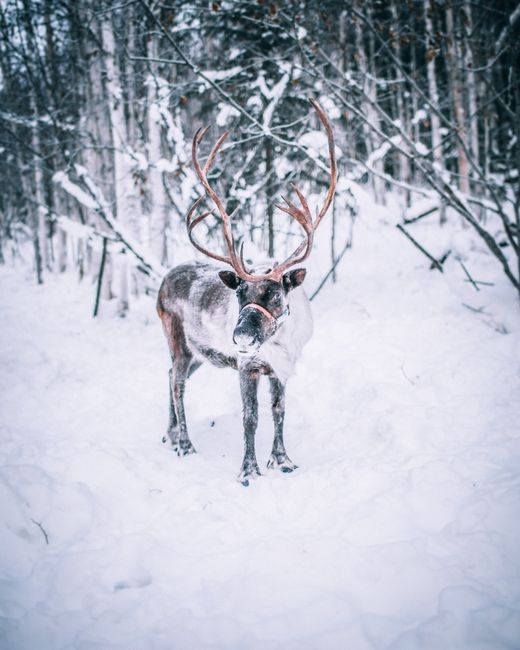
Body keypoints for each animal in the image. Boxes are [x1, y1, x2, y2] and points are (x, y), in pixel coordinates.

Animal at [156, 98, 337, 485]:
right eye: (240, 294)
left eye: (275, 294)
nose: (240, 336)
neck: (278, 341)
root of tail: (164, 280)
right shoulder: (246, 366)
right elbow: (250, 418)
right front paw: (248, 470)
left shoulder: (281, 368)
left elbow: (279, 411)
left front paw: (282, 460)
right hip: (177, 339)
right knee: (176, 382)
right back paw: (185, 445)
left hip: (199, 353)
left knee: (170, 376)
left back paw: (171, 434)